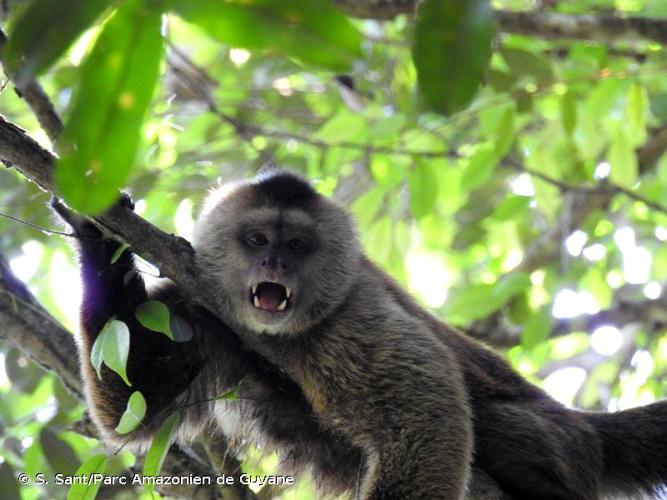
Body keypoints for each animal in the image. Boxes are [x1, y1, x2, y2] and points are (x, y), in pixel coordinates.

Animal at [53, 169, 667, 500]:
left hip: (560, 442)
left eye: (297, 246)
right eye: (257, 240)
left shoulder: (351, 317)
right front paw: (98, 238)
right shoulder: (195, 305)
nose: (274, 261)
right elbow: (129, 408)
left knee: (503, 427)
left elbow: (426, 415)